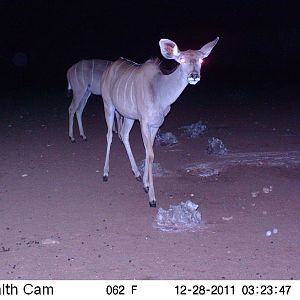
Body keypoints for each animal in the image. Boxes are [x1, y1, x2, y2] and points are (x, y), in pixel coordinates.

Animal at [102, 37, 219, 206]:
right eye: (181, 59)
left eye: (201, 60)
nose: (194, 75)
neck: (158, 91)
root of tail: (109, 69)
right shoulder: (144, 122)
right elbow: (150, 154)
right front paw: (152, 198)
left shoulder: (156, 124)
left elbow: (148, 152)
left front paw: (145, 185)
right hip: (108, 106)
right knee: (110, 135)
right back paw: (105, 173)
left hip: (129, 116)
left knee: (124, 135)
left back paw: (136, 174)